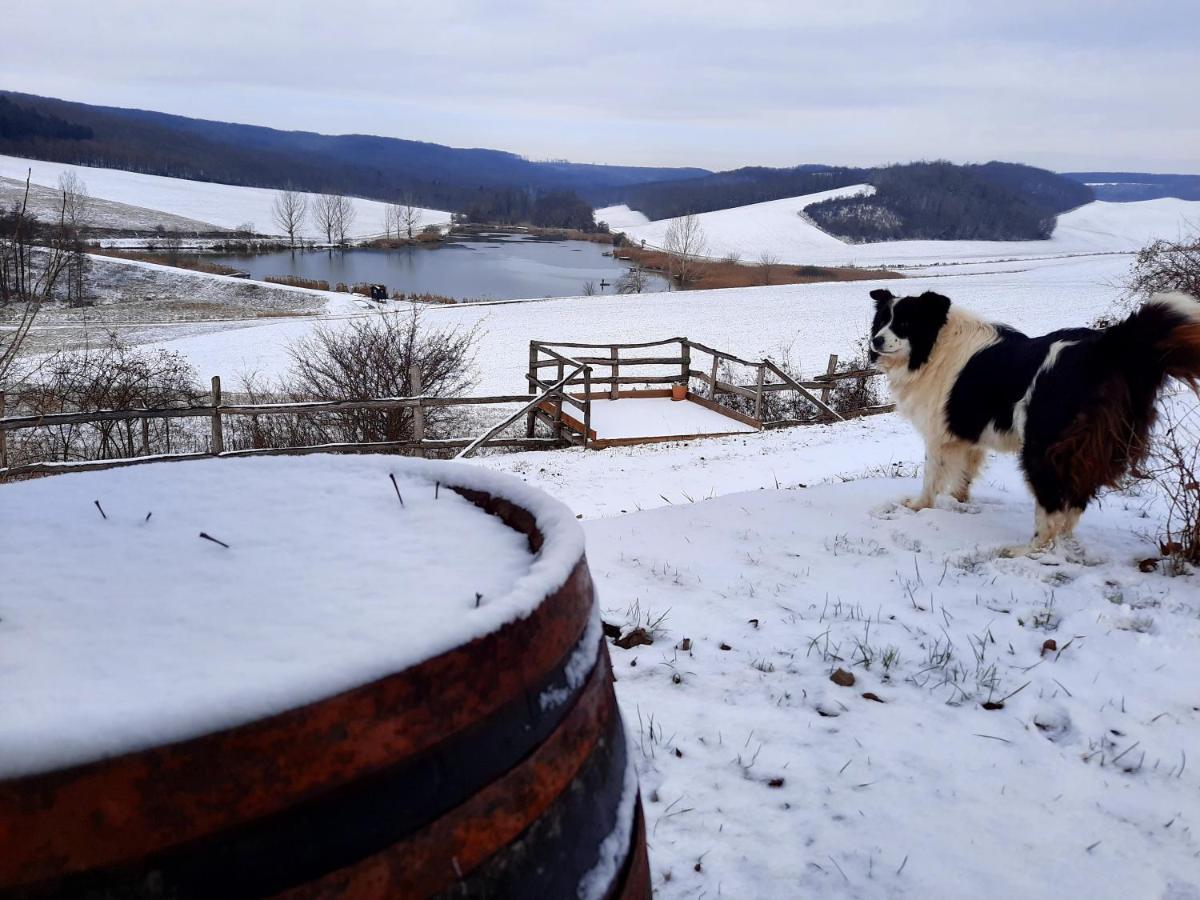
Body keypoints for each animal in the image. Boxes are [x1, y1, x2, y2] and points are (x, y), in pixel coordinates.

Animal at [873, 292, 1200, 554]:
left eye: (904, 323)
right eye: (882, 321)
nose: (875, 340)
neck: (935, 345)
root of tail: (1106, 350)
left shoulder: (939, 433)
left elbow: (932, 475)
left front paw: (918, 506)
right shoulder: (968, 433)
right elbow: (964, 473)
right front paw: (960, 501)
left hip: (1042, 448)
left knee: (1051, 504)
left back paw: (1027, 549)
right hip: (1090, 446)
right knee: (1076, 498)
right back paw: (1063, 540)